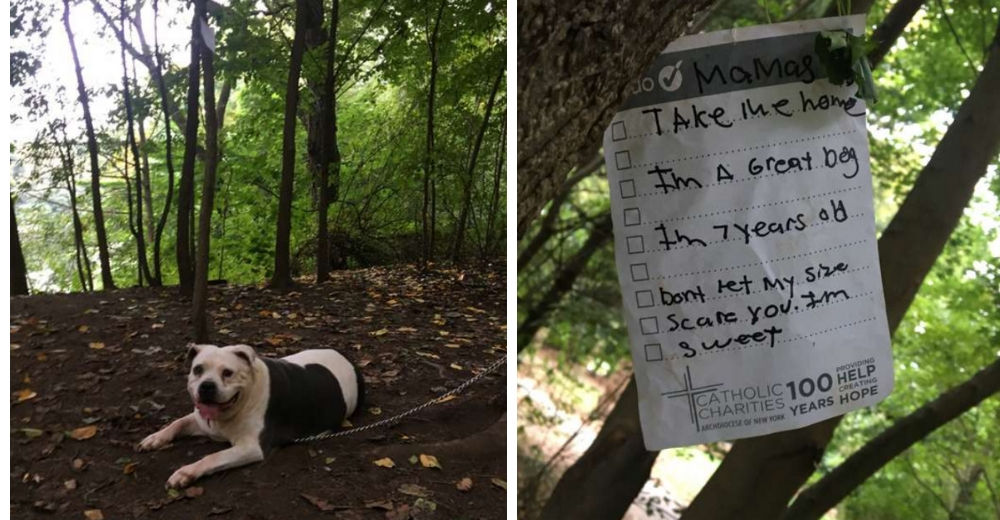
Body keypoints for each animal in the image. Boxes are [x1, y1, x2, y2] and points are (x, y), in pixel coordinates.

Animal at [136, 344, 364, 490]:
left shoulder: (250, 448)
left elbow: (213, 457)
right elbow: (177, 423)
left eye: (228, 372)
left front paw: (186, 473)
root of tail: (347, 358)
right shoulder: (200, 421)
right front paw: (155, 438)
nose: (207, 386)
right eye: (197, 369)